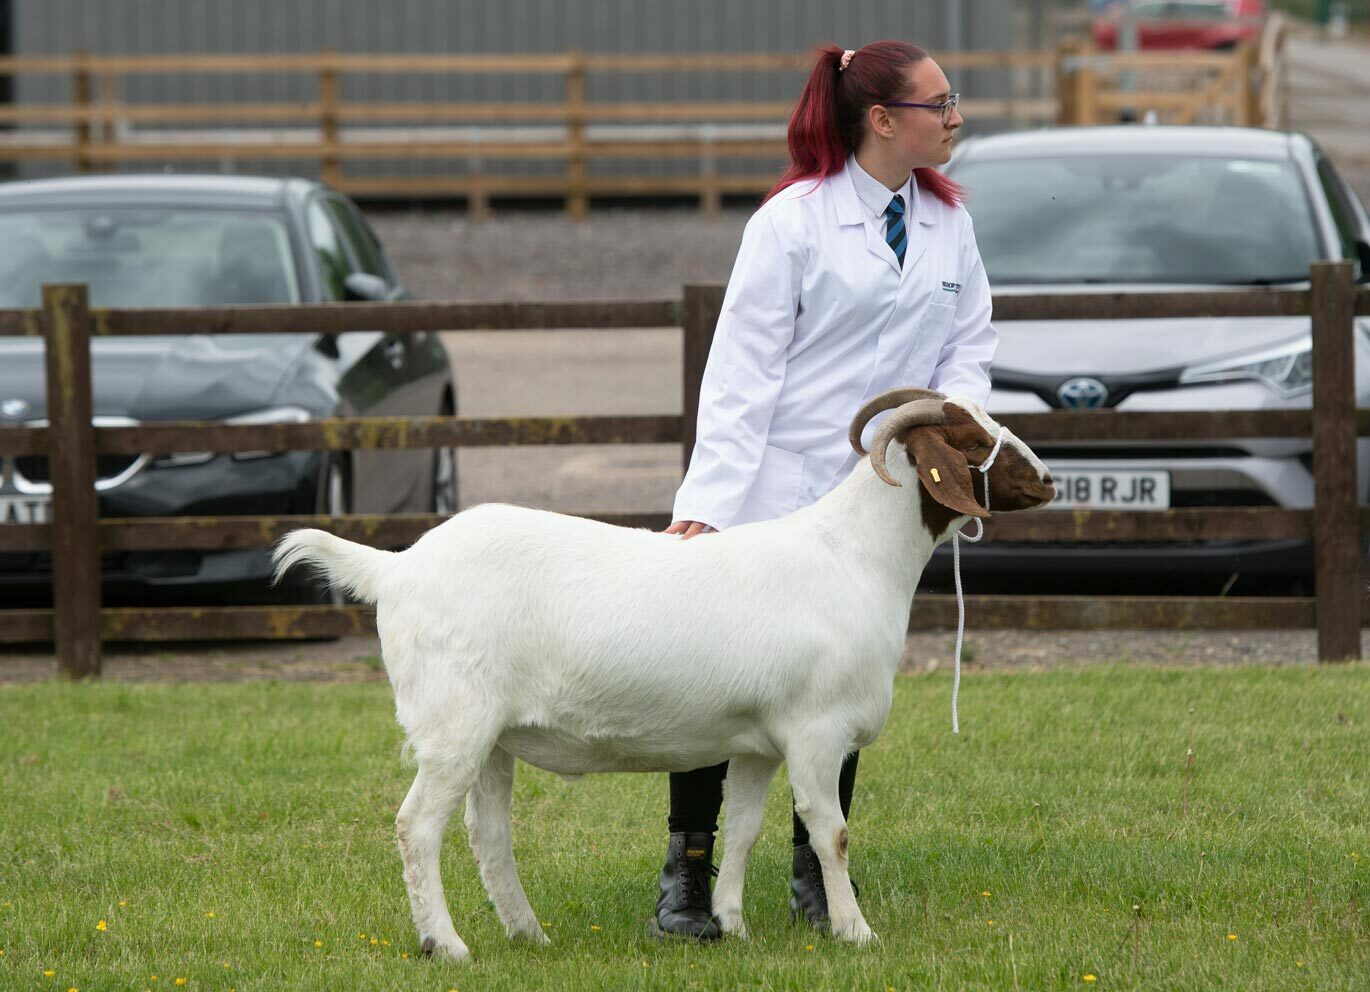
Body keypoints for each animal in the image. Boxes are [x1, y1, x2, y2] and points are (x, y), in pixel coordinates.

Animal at [272, 388, 1055, 960]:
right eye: (969, 441)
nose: (1048, 480)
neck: (854, 557)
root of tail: (395, 567)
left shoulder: (759, 742)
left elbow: (743, 830)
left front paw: (733, 925)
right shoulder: (815, 732)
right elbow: (830, 833)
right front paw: (856, 932)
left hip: (491, 739)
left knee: (487, 836)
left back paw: (529, 935)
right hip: (452, 725)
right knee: (416, 828)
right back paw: (447, 944)